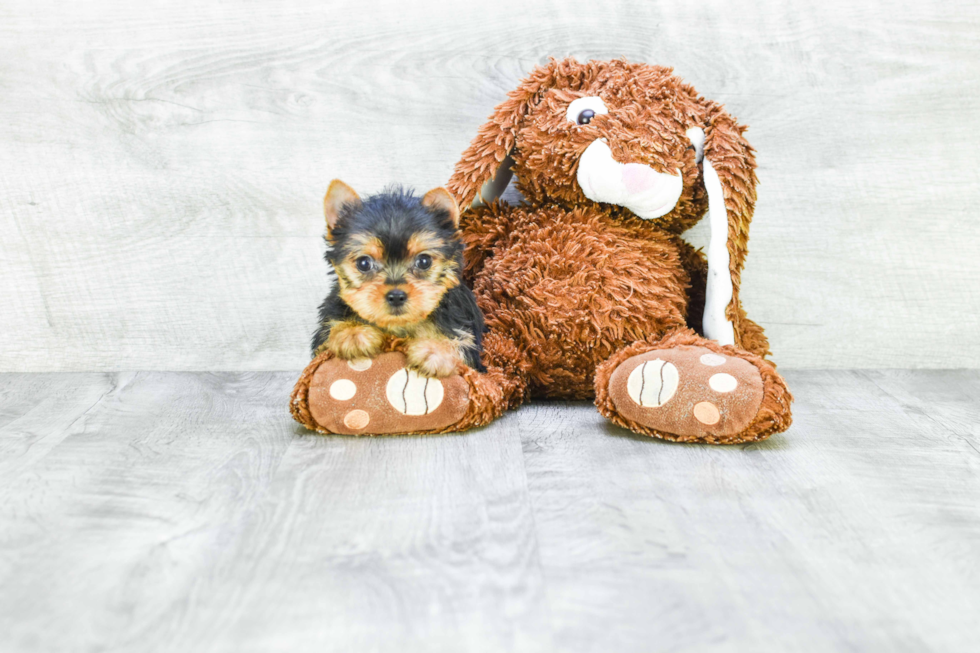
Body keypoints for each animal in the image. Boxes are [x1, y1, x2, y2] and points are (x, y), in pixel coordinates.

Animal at [312, 181, 484, 376]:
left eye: (424, 261)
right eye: (364, 263)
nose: (396, 296)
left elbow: (462, 346)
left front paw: (435, 350)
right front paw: (352, 333)